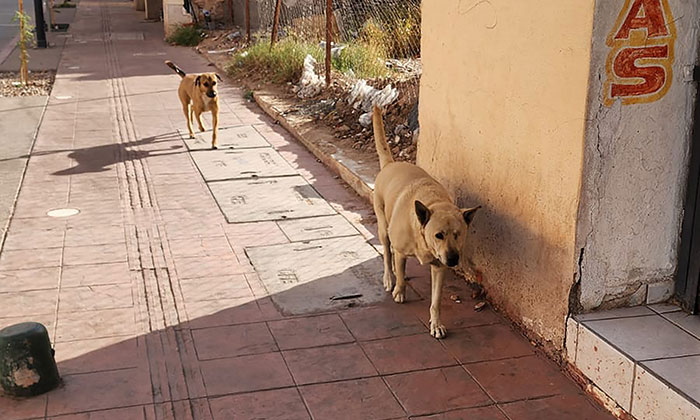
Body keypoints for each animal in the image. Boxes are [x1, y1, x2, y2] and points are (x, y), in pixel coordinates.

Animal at [372, 106, 482, 340]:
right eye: (438, 235)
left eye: (458, 234)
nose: (453, 259)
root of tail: (390, 164)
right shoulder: (403, 250)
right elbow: (400, 268)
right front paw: (399, 290)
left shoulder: (440, 267)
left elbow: (436, 300)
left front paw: (436, 324)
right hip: (382, 225)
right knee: (387, 252)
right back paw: (389, 277)